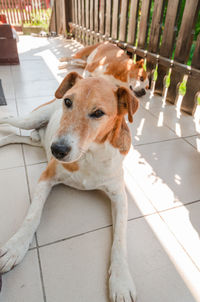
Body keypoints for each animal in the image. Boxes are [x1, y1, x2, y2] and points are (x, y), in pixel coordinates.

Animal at [0, 72, 139, 300]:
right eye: (68, 102)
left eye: (98, 113)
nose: (57, 150)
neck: (89, 154)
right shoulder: (47, 176)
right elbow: (32, 216)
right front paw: (15, 247)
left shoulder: (119, 195)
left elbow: (120, 238)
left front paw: (121, 280)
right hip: (30, 119)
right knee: (9, 120)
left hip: (36, 140)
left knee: (14, 136)